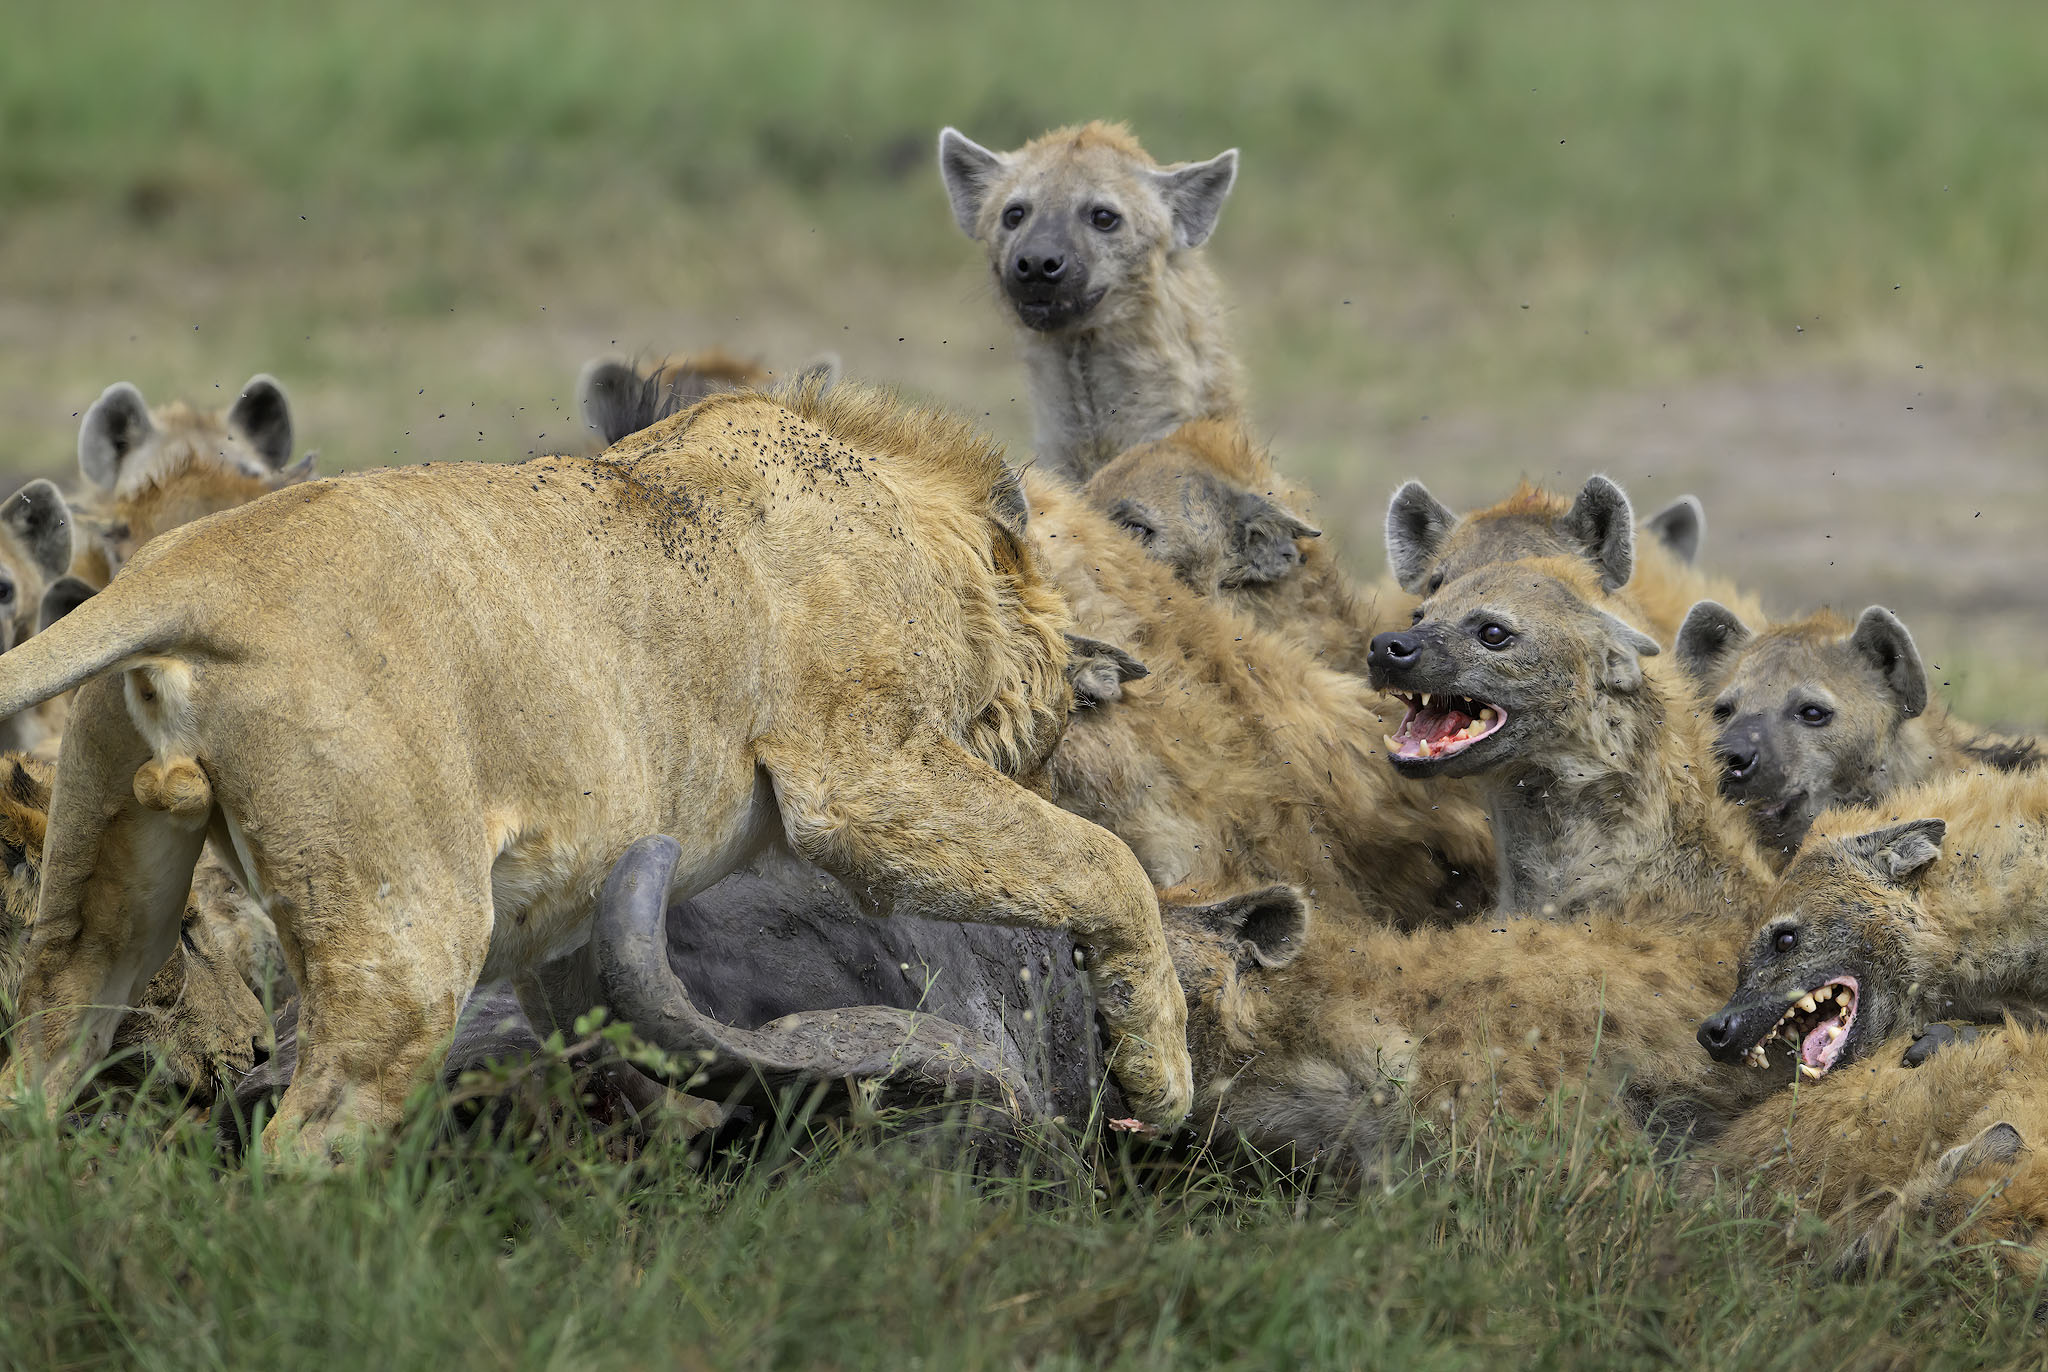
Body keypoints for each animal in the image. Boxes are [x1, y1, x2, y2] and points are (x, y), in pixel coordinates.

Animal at [0, 379, 1192, 1158]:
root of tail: (190, 572)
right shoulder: (861, 781)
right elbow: (1104, 864)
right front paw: (1159, 1077)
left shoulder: (574, 913)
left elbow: (622, 1031)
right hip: (410, 936)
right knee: (311, 1135)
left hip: (102, 892)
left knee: (45, 1050)